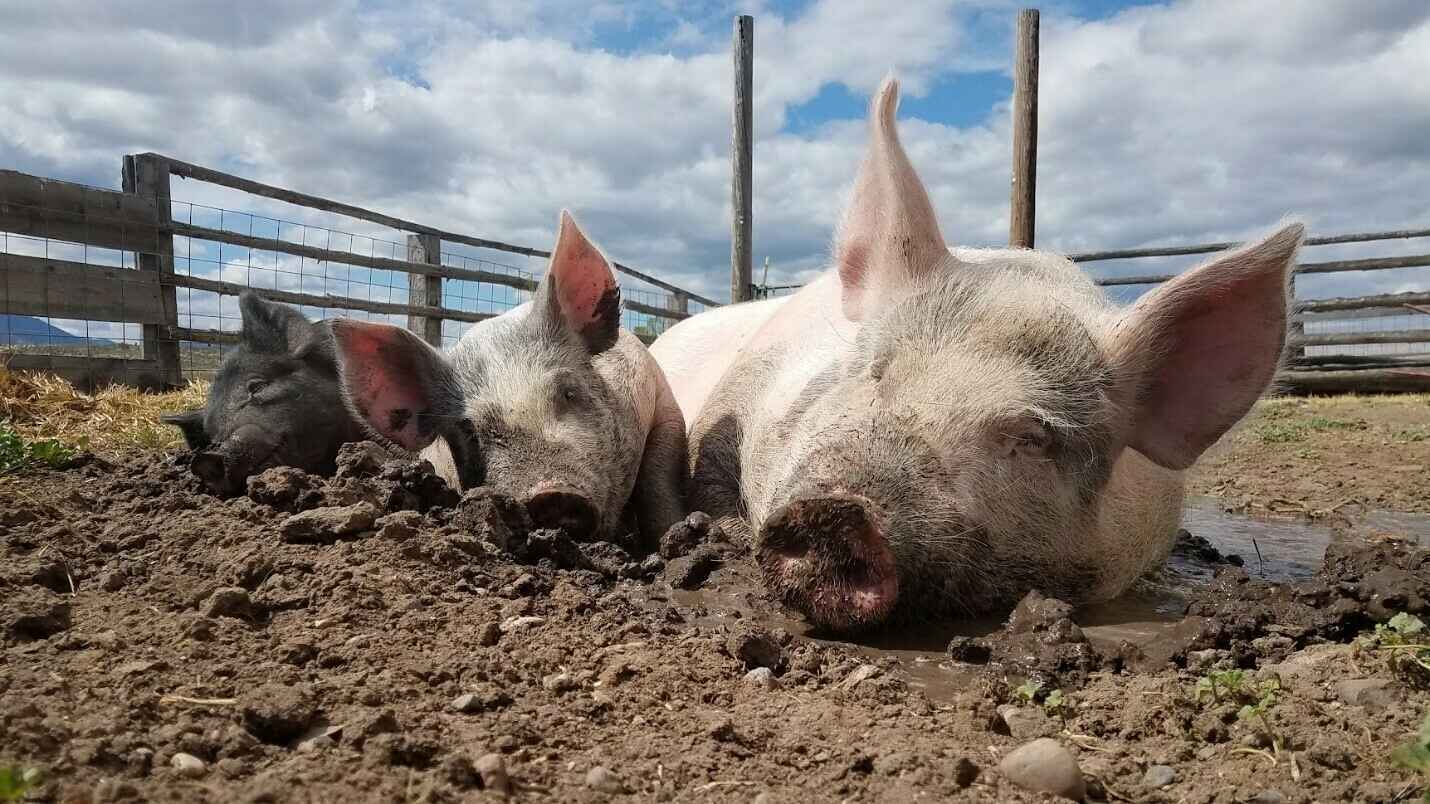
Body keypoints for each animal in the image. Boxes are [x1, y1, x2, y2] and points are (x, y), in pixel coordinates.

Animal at [330, 211, 687, 546]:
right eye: (468, 432)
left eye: (569, 392)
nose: (552, 493)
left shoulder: (662, 402)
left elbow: (658, 482)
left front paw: (673, 534)